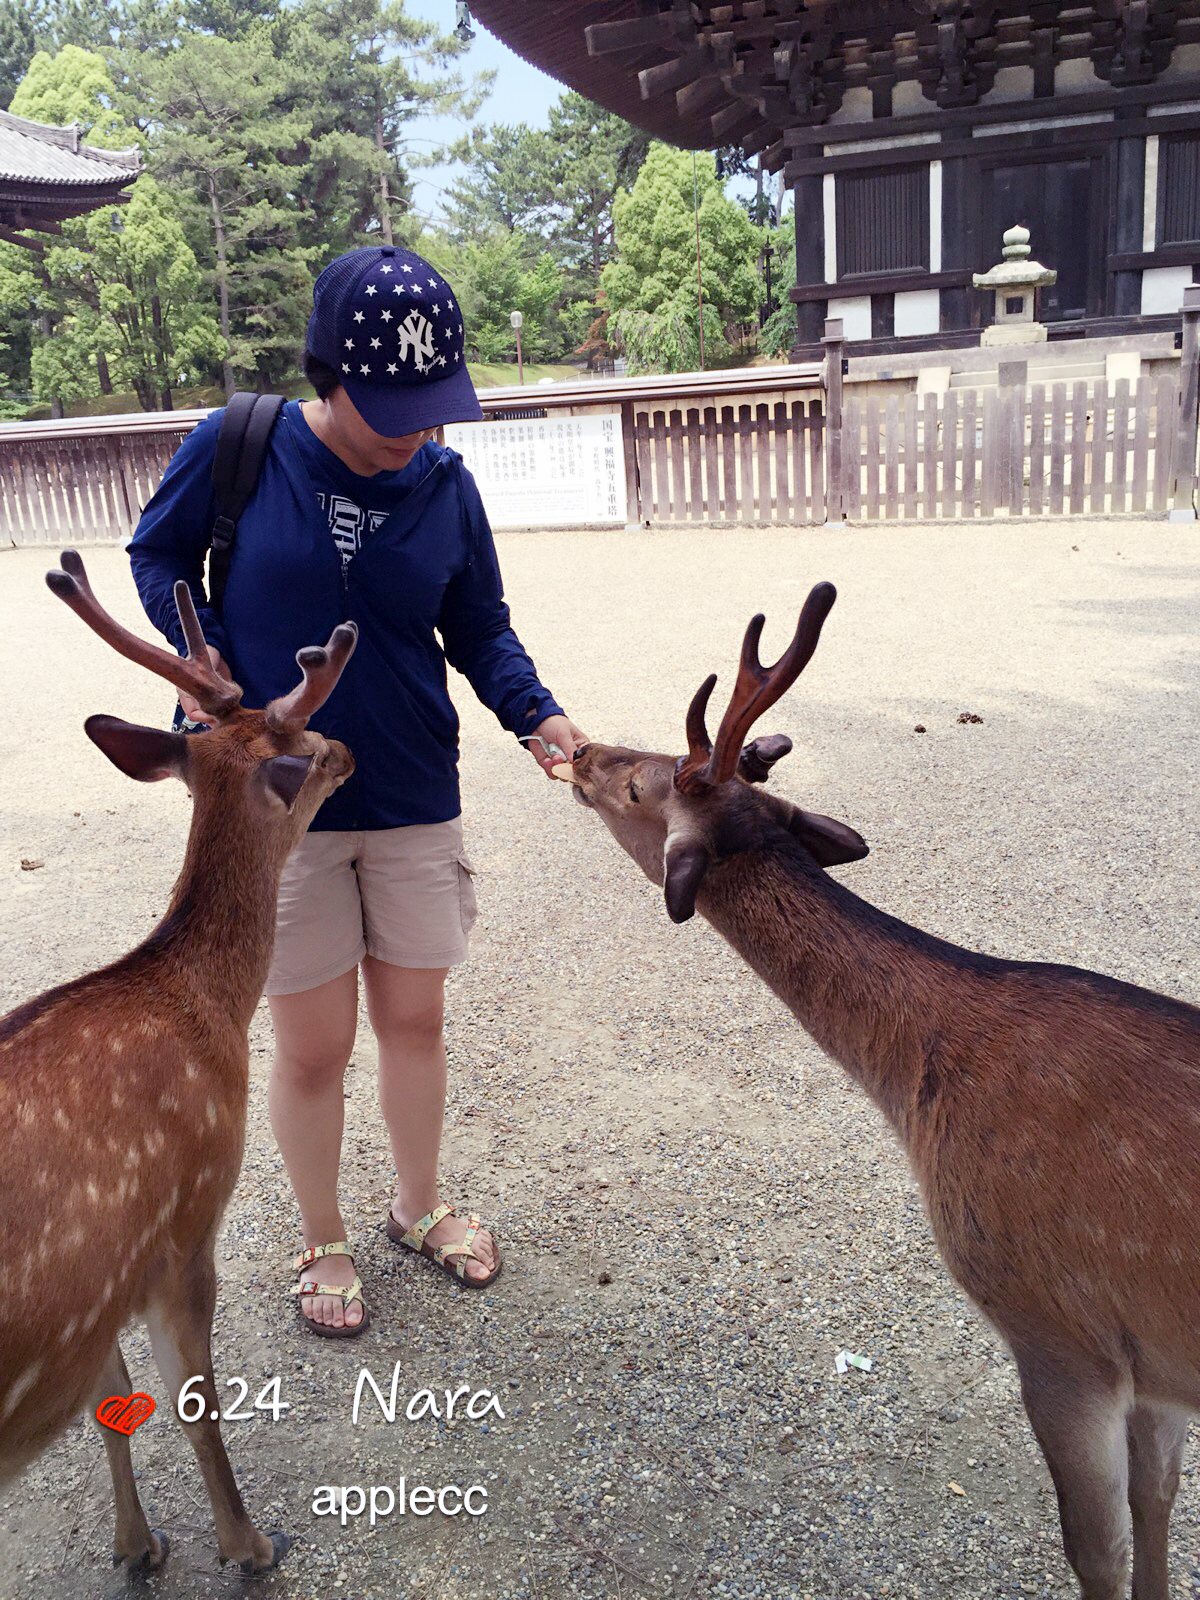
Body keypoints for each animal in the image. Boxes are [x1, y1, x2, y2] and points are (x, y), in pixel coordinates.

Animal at [0, 550, 356, 1574]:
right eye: (305, 737)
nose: (349, 752)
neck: (204, 1008)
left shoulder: (97, 1283)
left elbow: (111, 1407)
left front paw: (137, 1547)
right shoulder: (185, 1216)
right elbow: (194, 1404)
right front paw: (250, 1546)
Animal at [569, 582, 1200, 1600]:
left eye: (643, 785)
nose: (583, 750)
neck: (916, 1091)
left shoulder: (1063, 1332)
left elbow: (1096, 1551)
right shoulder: (1161, 1366)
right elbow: (1158, 1509)